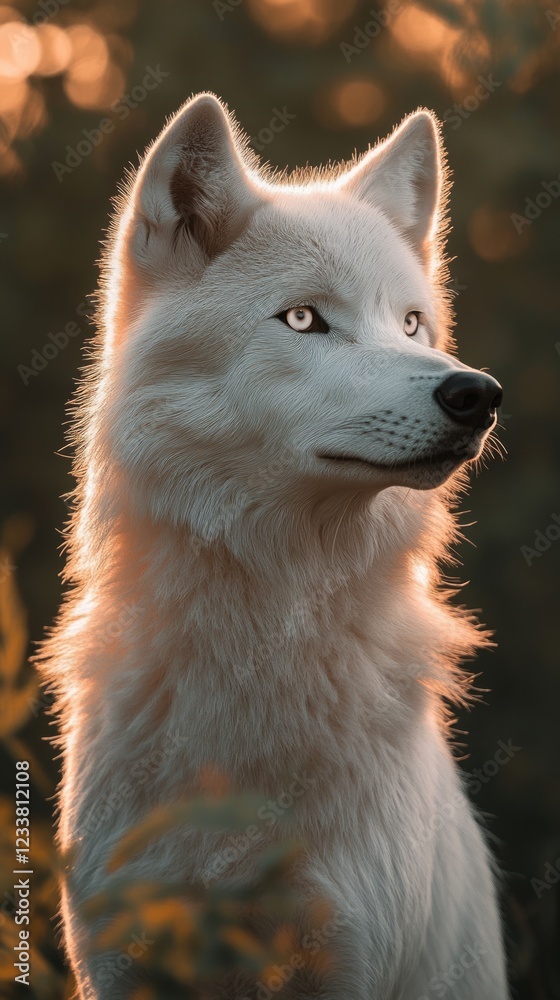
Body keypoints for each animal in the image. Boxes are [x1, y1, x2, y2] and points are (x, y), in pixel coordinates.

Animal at [40, 93, 509, 998]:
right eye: (303, 318)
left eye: (412, 325)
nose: (476, 393)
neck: (268, 625)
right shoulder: (119, 957)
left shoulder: (350, 957)